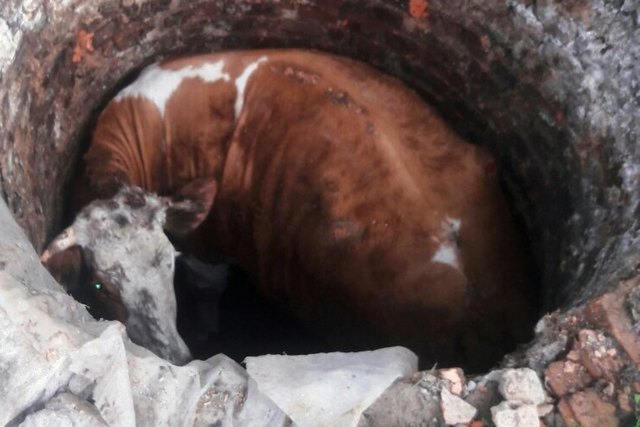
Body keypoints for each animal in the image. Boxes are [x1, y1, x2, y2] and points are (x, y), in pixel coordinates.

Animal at [43, 49, 535, 369]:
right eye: (102, 286)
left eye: (170, 266)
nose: (175, 357)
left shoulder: (207, 246)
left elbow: (208, 288)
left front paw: (206, 330)